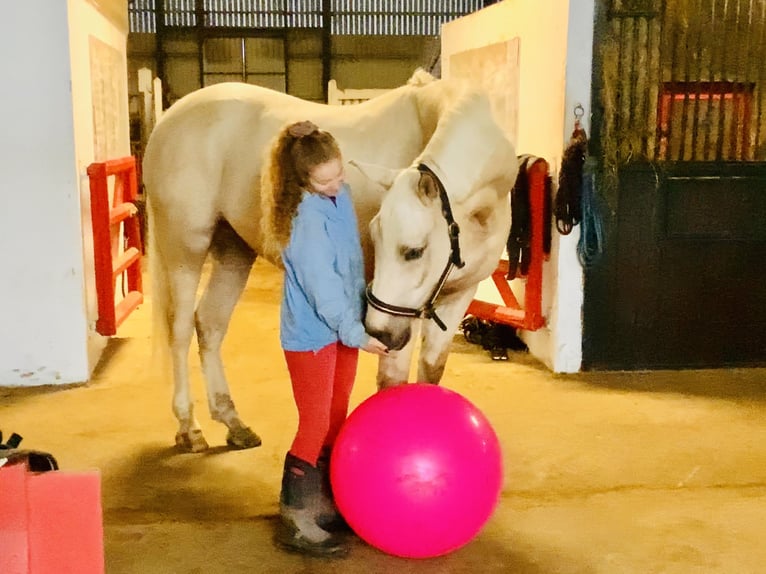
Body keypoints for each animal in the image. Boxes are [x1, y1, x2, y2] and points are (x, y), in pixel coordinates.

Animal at [142, 71, 518, 452]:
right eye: (376, 237)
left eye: (414, 251)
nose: (377, 331)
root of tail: (170, 120)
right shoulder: (403, 320)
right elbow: (393, 382)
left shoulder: (458, 297)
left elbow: (431, 371)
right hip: (185, 250)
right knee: (181, 330)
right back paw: (190, 428)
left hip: (234, 252)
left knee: (210, 324)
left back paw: (233, 422)